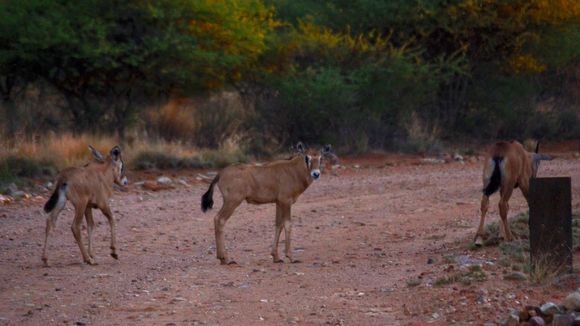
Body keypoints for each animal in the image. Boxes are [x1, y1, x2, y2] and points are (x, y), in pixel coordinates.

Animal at [201, 143, 338, 264]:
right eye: (307, 157)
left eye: (321, 157)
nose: (316, 174)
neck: (293, 170)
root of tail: (220, 174)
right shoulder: (286, 201)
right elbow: (287, 224)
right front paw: (290, 257)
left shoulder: (278, 203)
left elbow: (278, 225)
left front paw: (276, 257)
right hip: (232, 201)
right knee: (220, 219)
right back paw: (225, 258)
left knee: (218, 219)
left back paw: (222, 258)